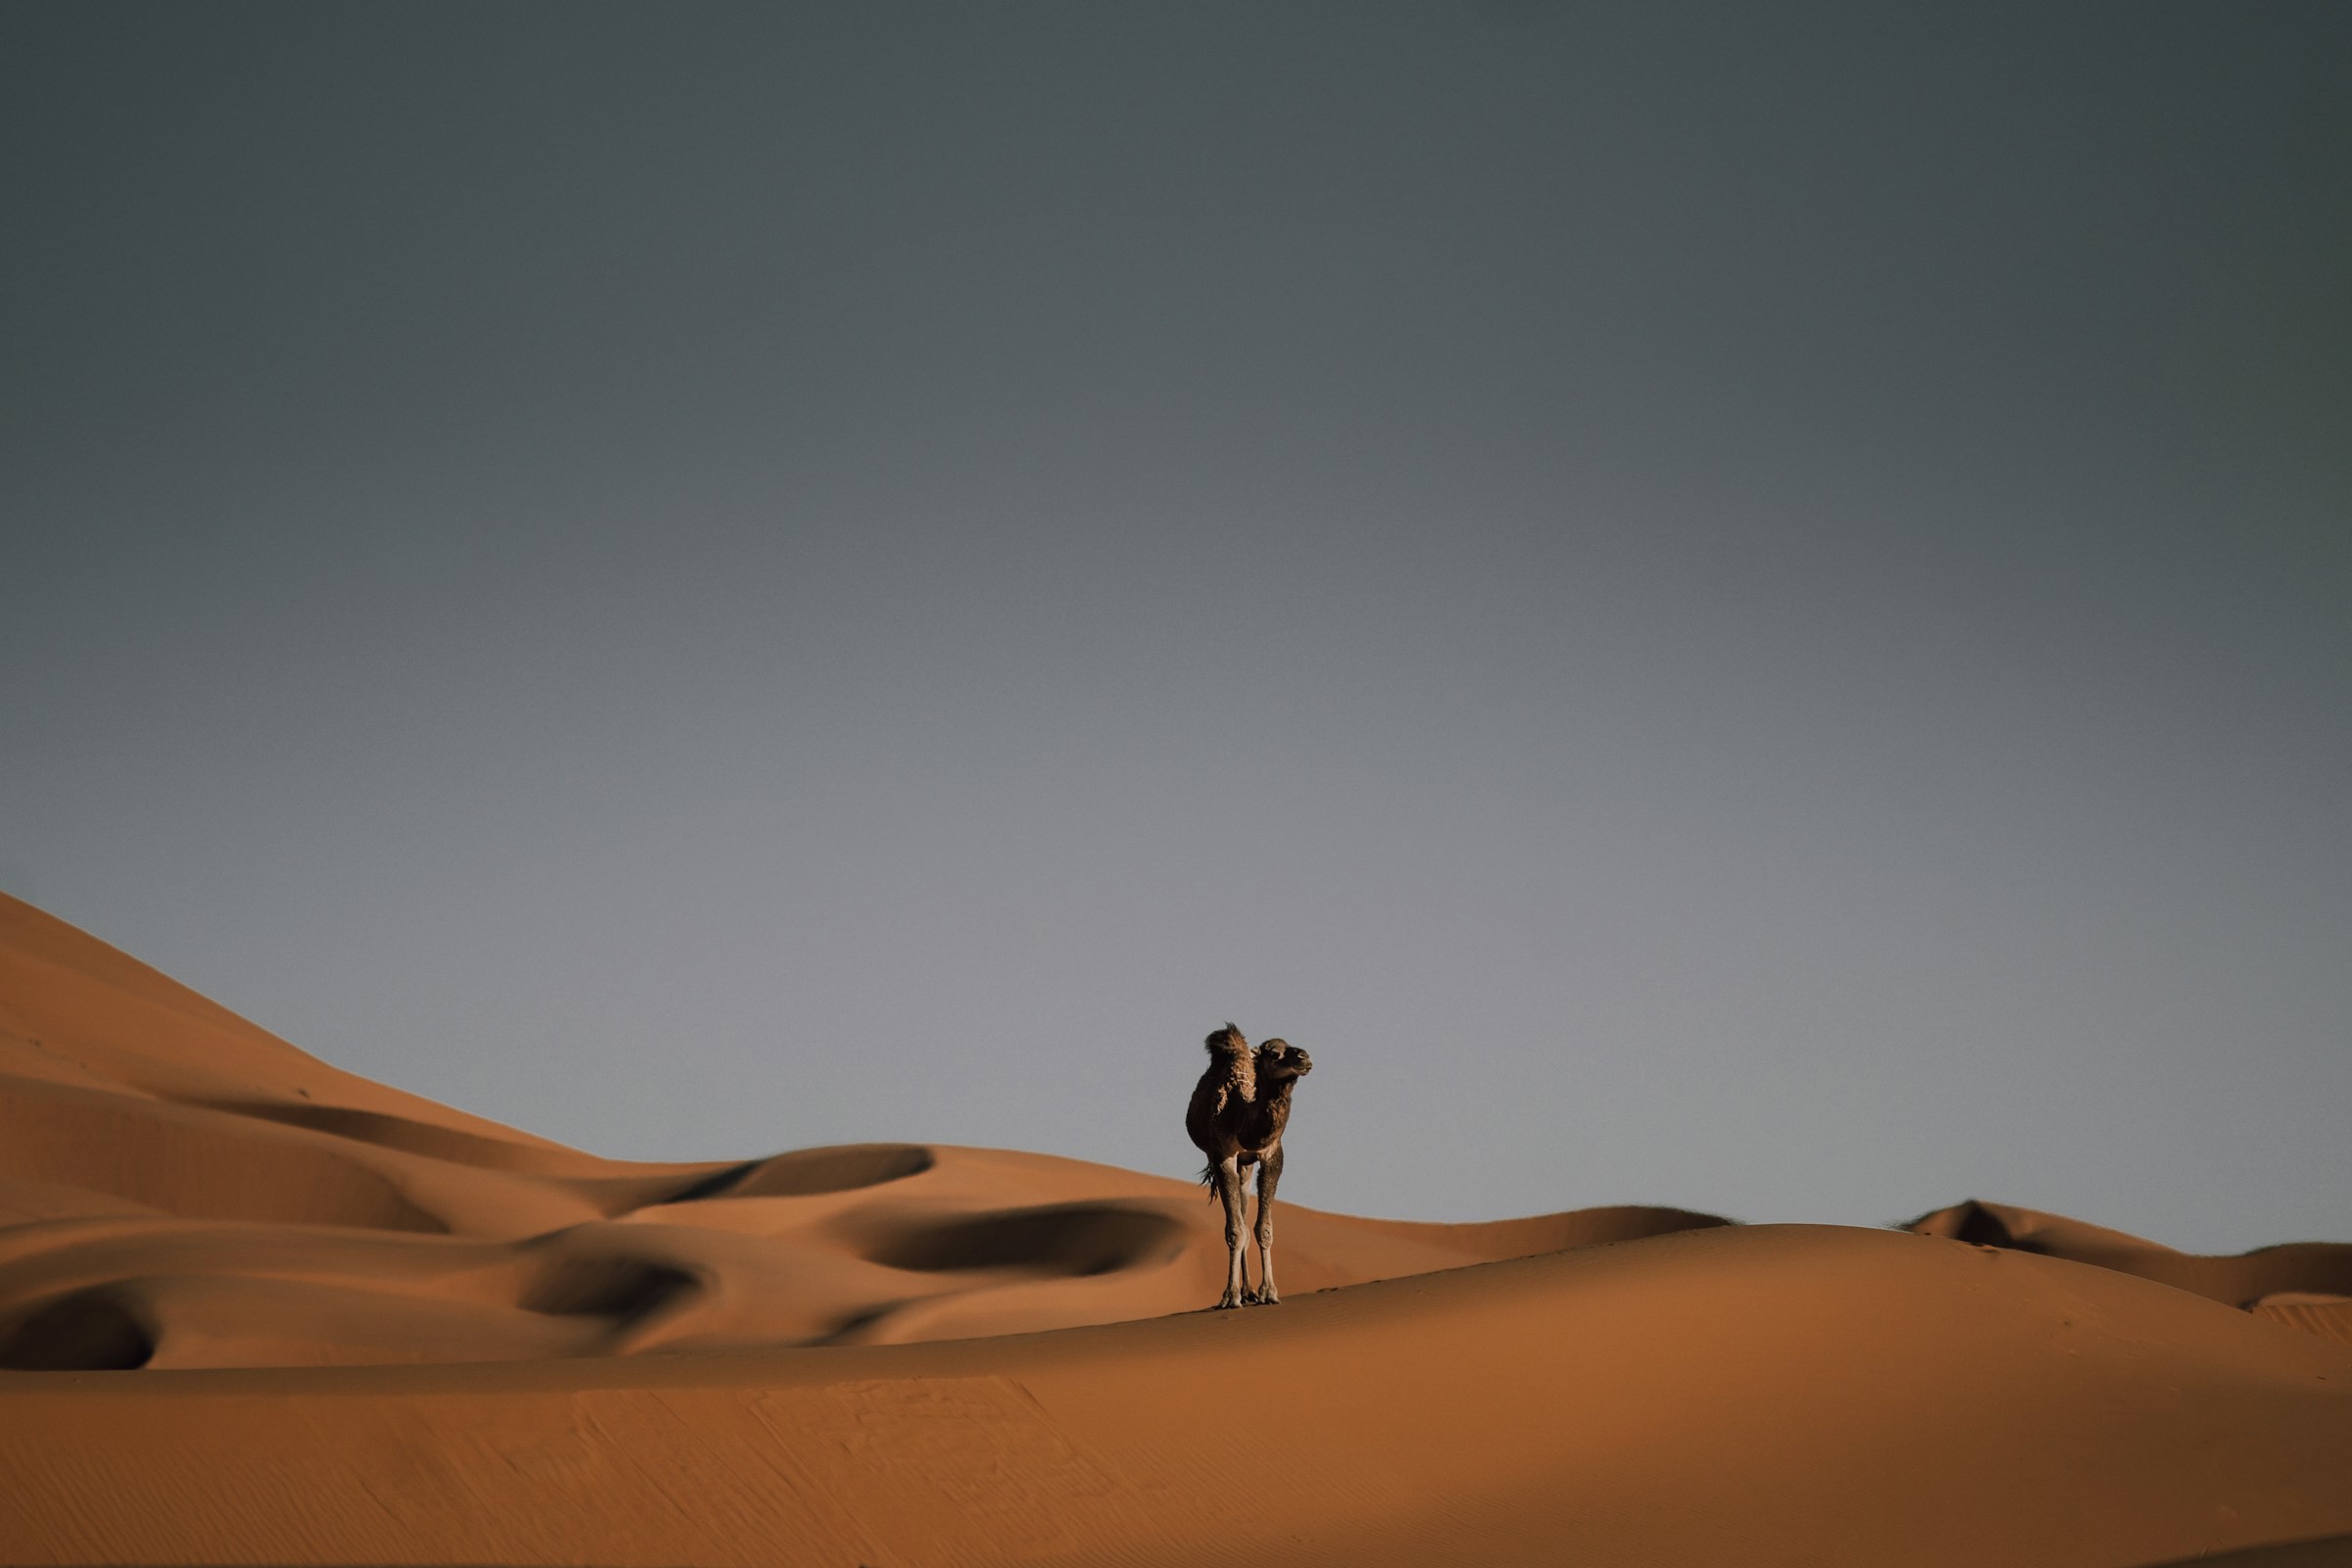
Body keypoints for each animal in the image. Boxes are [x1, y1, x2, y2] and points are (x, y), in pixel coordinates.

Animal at [1185, 1024, 1317, 1306]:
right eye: (1274, 1054)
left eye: (1291, 1046)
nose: (1304, 1057)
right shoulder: (1223, 1155)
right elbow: (1235, 1231)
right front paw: (1229, 1296)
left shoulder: (1272, 1155)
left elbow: (1263, 1228)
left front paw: (1269, 1292)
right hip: (1226, 1161)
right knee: (1240, 1224)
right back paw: (1241, 1293)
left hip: (1246, 1167)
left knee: (1246, 1218)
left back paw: (1249, 1291)